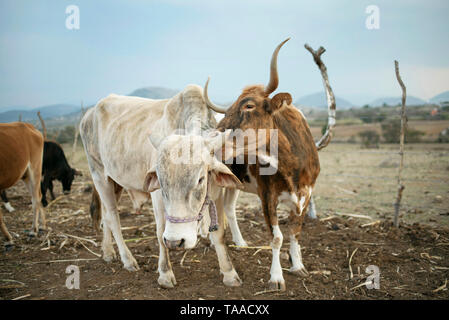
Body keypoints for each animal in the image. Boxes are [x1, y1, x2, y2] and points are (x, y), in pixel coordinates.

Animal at [79, 85, 243, 288]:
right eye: (161, 179)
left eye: (200, 179)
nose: (176, 241)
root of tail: (89, 113)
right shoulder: (156, 196)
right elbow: (159, 232)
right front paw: (165, 273)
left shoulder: (216, 192)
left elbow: (219, 233)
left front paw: (229, 273)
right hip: (99, 174)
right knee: (113, 217)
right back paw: (128, 259)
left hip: (114, 181)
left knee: (106, 217)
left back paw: (108, 252)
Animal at [205, 38, 334, 290]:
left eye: (249, 106)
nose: (214, 136)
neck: (291, 164)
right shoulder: (267, 195)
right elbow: (276, 237)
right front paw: (276, 276)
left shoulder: (306, 194)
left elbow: (295, 232)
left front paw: (298, 265)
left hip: (235, 182)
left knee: (229, 209)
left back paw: (240, 242)